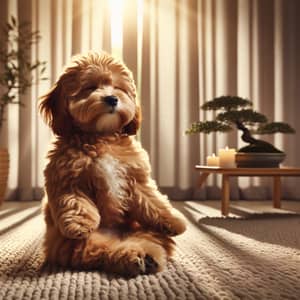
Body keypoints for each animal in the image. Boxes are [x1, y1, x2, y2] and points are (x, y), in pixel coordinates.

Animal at [39, 51, 186, 276]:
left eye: (118, 87)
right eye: (90, 87)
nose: (112, 98)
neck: (101, 137)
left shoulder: (135, 177)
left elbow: (152, 200)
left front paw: (173, 220)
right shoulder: (66, 176)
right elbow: (74, 200)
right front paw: (79, 224)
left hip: (142, 228)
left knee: (153, 238)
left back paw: (149, 256)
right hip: (80, 244)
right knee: (102, 250)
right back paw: (137, 256)